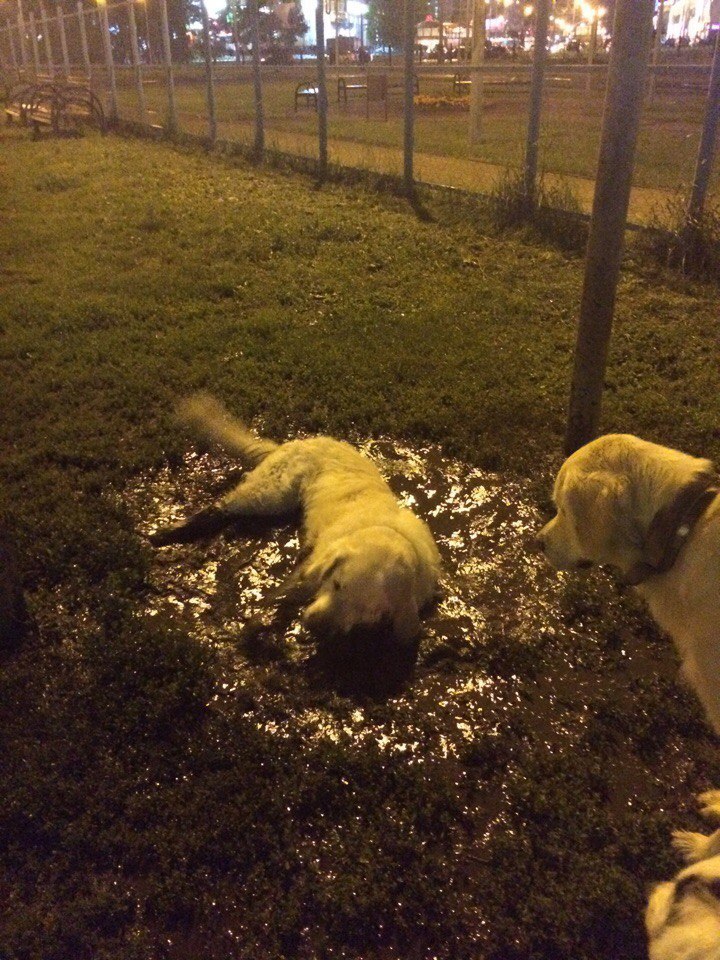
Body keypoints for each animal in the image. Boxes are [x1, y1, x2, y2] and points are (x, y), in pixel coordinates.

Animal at [150, 394, 442, 640]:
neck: (384, 531)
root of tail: (296, 442)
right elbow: (281, 597)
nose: (315, 627)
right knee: (220, 508)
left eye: (367, 611)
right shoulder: (310, 568)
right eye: (337, 585)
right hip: (270, 494)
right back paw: (166, 533)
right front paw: (256, 627)